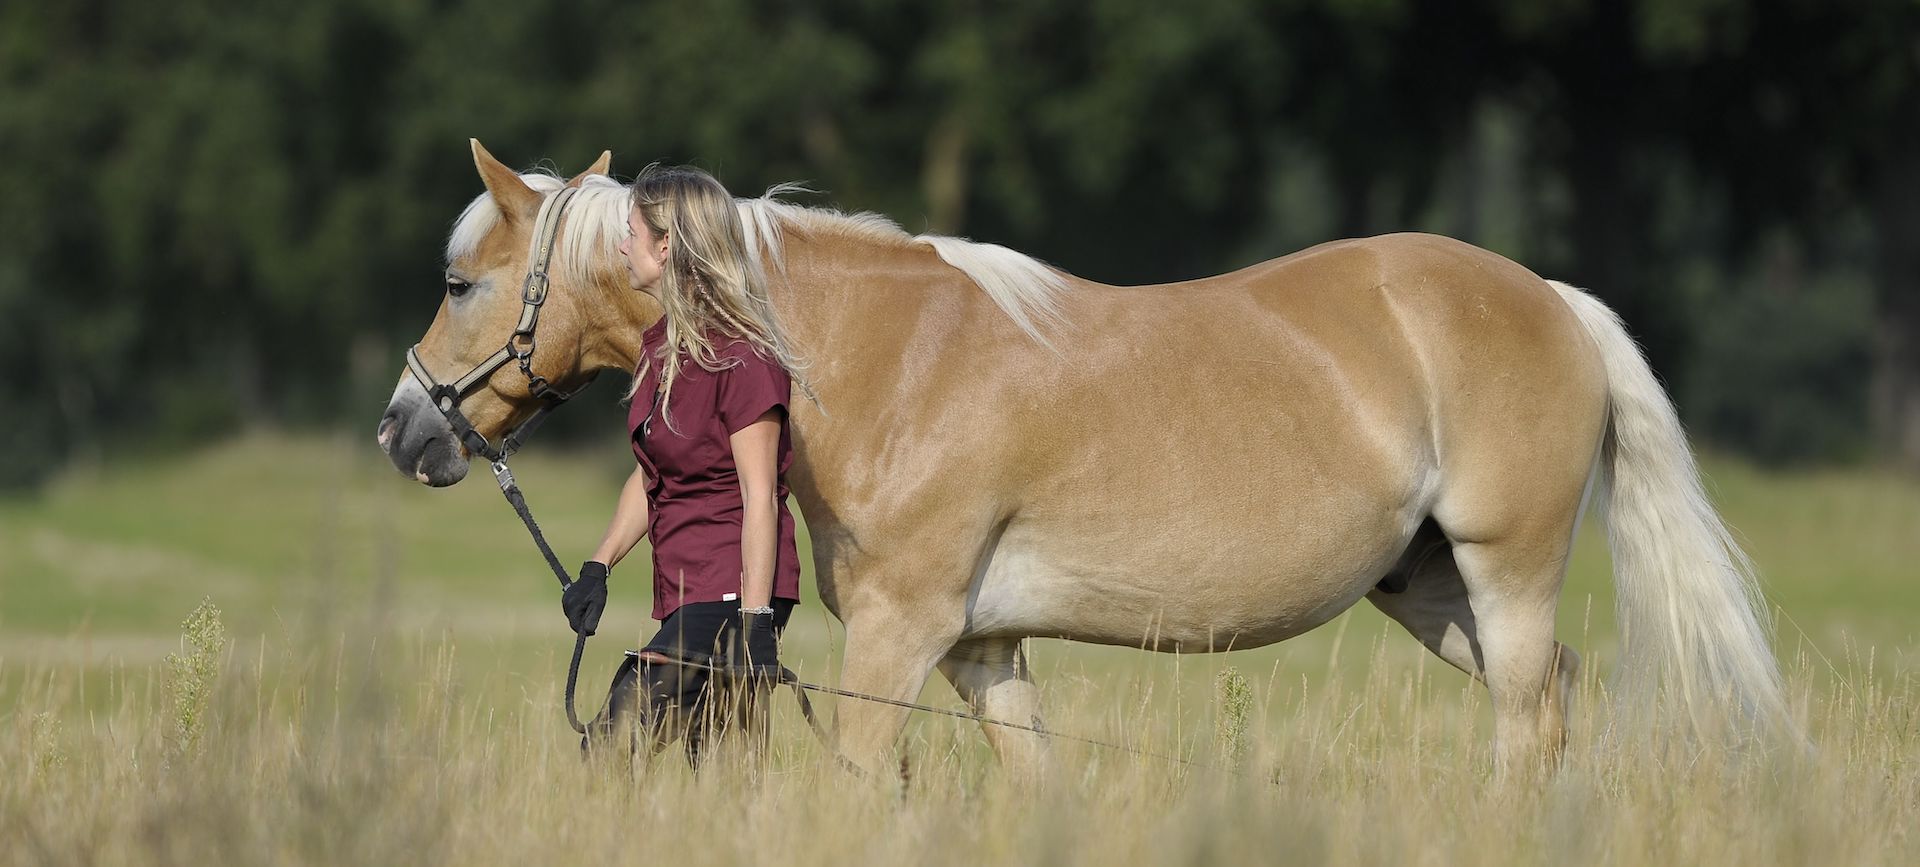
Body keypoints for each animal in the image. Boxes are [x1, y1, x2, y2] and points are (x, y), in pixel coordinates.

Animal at [377, 141, 1787, 777]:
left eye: (460, 281)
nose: (406, 427)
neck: (874, 362)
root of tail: (1551, 299)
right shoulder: (982, 650)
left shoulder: (901, 637)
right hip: (1434, 590)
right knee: (1548, 700)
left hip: (1506, 571)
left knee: (1527, 713)